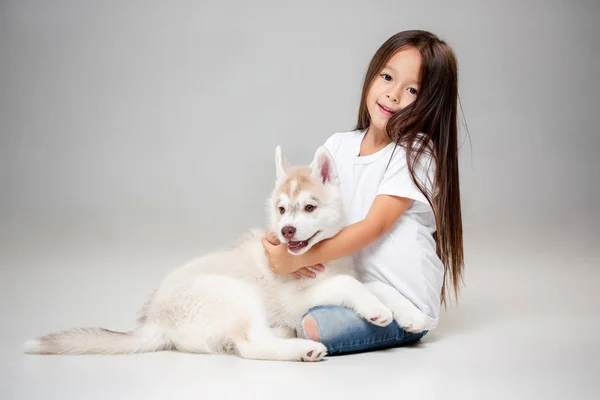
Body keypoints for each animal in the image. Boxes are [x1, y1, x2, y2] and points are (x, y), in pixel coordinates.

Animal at [24, 145, 422, 360]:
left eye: (309, 208)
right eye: (282, 210)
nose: (286, 231)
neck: (320, 256)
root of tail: (155, 321)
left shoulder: (343, 274)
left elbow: (377, 286)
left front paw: (410, 314)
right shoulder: (298, 298)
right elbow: (349, 286)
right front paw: (377, 311)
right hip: (236, 294)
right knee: (250, 344)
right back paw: (300, 349)